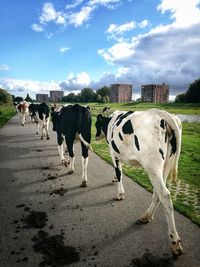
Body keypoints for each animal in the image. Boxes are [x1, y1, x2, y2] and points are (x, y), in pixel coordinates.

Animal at [95, 109, 183, 258]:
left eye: (96, 124)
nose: (95, 136)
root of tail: (162, 113)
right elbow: (120, 170)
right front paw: (114, 179)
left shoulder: (114, 153)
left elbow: (119, 171)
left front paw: (120, 194)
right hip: (166, 164)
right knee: (157, 192)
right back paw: (146, 216)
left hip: (152, 165)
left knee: (165, 195)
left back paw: (175, 242)